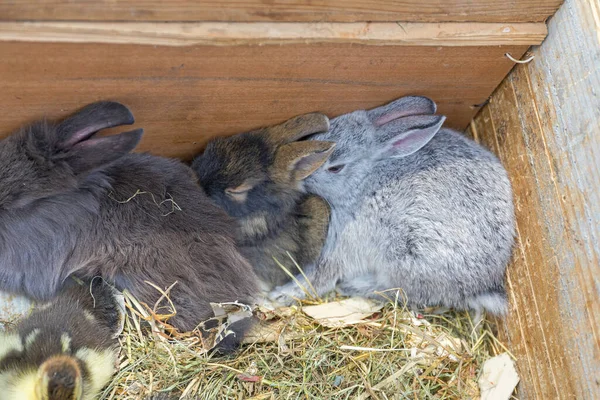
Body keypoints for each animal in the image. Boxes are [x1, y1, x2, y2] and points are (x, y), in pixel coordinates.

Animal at [270, 97, 512, 316]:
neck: (364, 178)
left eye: (335, 168)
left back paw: (353, 286)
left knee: (399, 292)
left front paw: (278, 295)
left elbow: (321, 275)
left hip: (405, 256)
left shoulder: (345, 240)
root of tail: (482, 286)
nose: (300, 172)